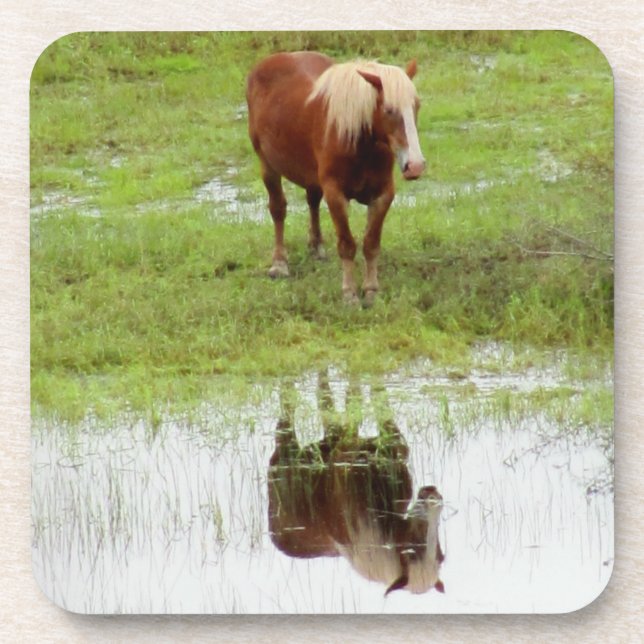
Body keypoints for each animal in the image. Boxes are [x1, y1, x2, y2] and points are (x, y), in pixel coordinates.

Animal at [246, 51, 426, 305]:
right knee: (278, 209)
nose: (415, 165)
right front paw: (349, 294)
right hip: (267, 165)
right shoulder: (336, 194)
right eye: (389, 110)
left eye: (416, 106)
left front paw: (371, 290)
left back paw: (316, 247)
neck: (359, 140)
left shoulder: (383, 194)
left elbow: (371, 243)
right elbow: (347, 244)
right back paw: (279, 263)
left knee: (312, 201)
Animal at [267, 372, 444, 596]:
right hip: (285, 451)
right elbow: (358, 400)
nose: (432, 493)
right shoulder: (347, 449)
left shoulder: (391, 449)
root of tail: (276, 538)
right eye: (413, 549)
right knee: (290, 409)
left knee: (324, 397)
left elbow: (376, 400)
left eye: (440, 555)